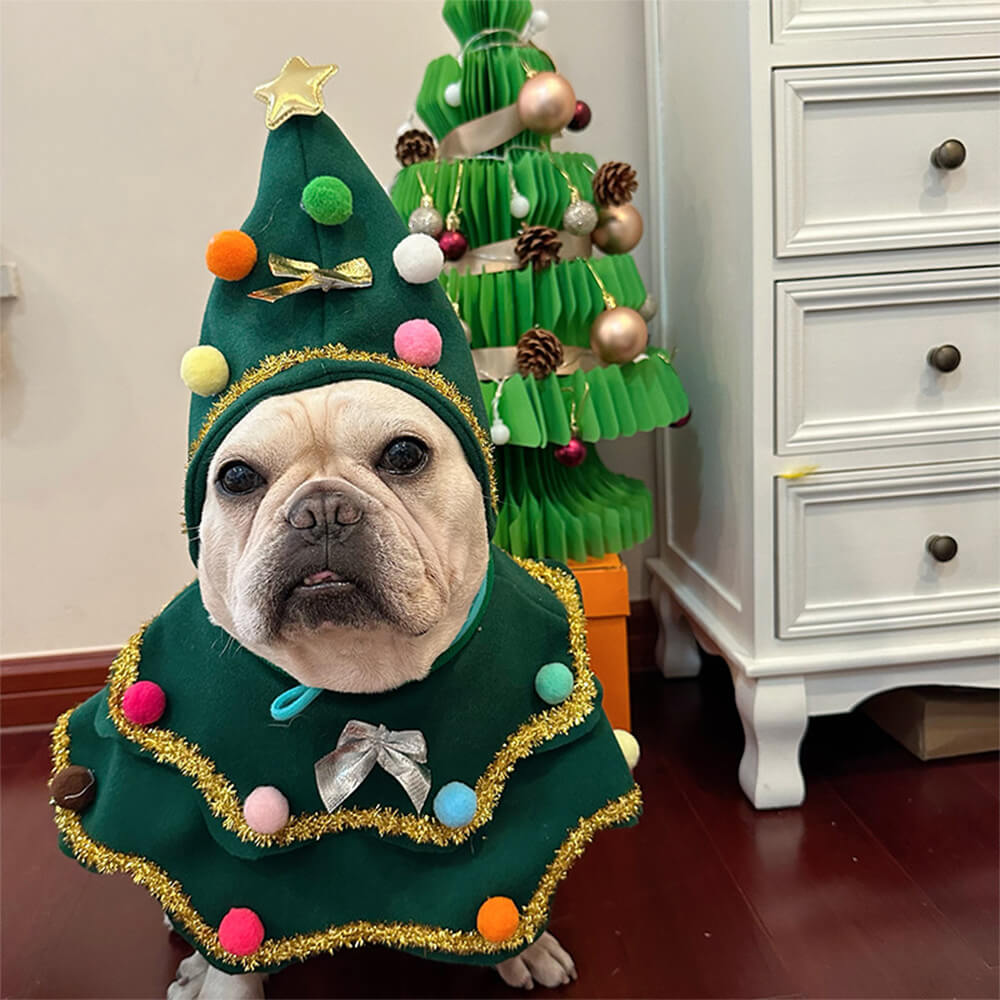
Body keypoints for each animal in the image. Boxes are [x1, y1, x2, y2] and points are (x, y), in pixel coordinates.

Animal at [168, 376, 580, 1000]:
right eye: (236, 477)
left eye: (404, 454)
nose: (320, 509)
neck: (354, 666)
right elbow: (233, 947)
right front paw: (220, 982)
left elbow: (508, 886)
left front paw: (525, 949)